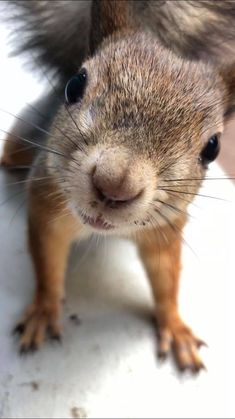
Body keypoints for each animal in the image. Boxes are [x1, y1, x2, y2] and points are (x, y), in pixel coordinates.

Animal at [1, 0, 235, 374]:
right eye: (75, 85)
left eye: (212, 147)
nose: (114, 186)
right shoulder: (46, 206)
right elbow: (47, 261)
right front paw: (44, 308)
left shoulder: (163, 230)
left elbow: (167, 277)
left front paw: (175, 325)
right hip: (25, 140)